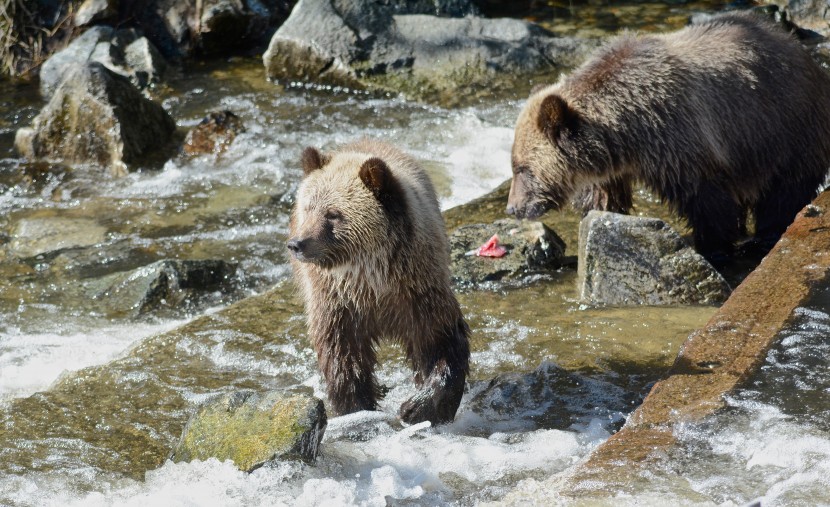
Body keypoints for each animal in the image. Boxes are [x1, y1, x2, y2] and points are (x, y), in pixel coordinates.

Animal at [288, 138, 472, 424]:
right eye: (307, 208)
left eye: (333, 214)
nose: (297, 244)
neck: (371, 279)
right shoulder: (338, 304)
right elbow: (342, 358)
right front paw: (356, 406)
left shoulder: (419, 293)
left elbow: (443, 342)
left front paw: (417, 406)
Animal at [510, 11, 830, 262]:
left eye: (522, 169)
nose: (513, 207)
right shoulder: (614, 166)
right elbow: (604, 198)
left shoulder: (679, 138)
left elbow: (707, 201)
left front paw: (712, 248)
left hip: (786, 127)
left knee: (784, 191)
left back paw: (764, 237)